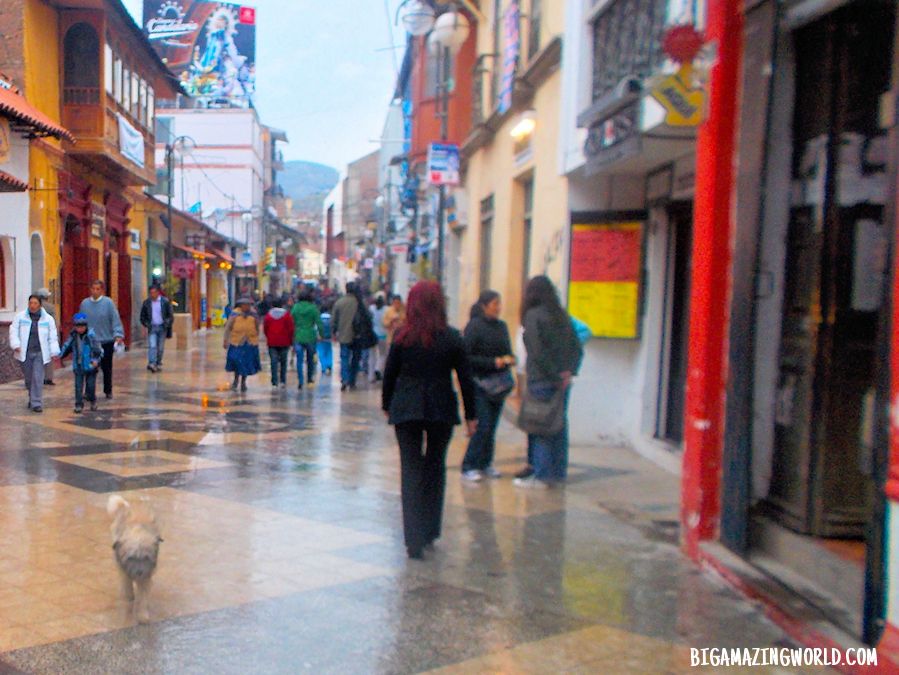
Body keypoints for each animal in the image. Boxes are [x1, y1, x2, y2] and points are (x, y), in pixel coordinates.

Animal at [106, 496, 163, 624]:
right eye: (131, 558)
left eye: (146, 558)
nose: (139, 572)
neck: (137, 532)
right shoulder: (123, 569)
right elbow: (127, 584)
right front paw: (130, 596)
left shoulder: (147, 575)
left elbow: (143, 595)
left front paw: (142, 615)